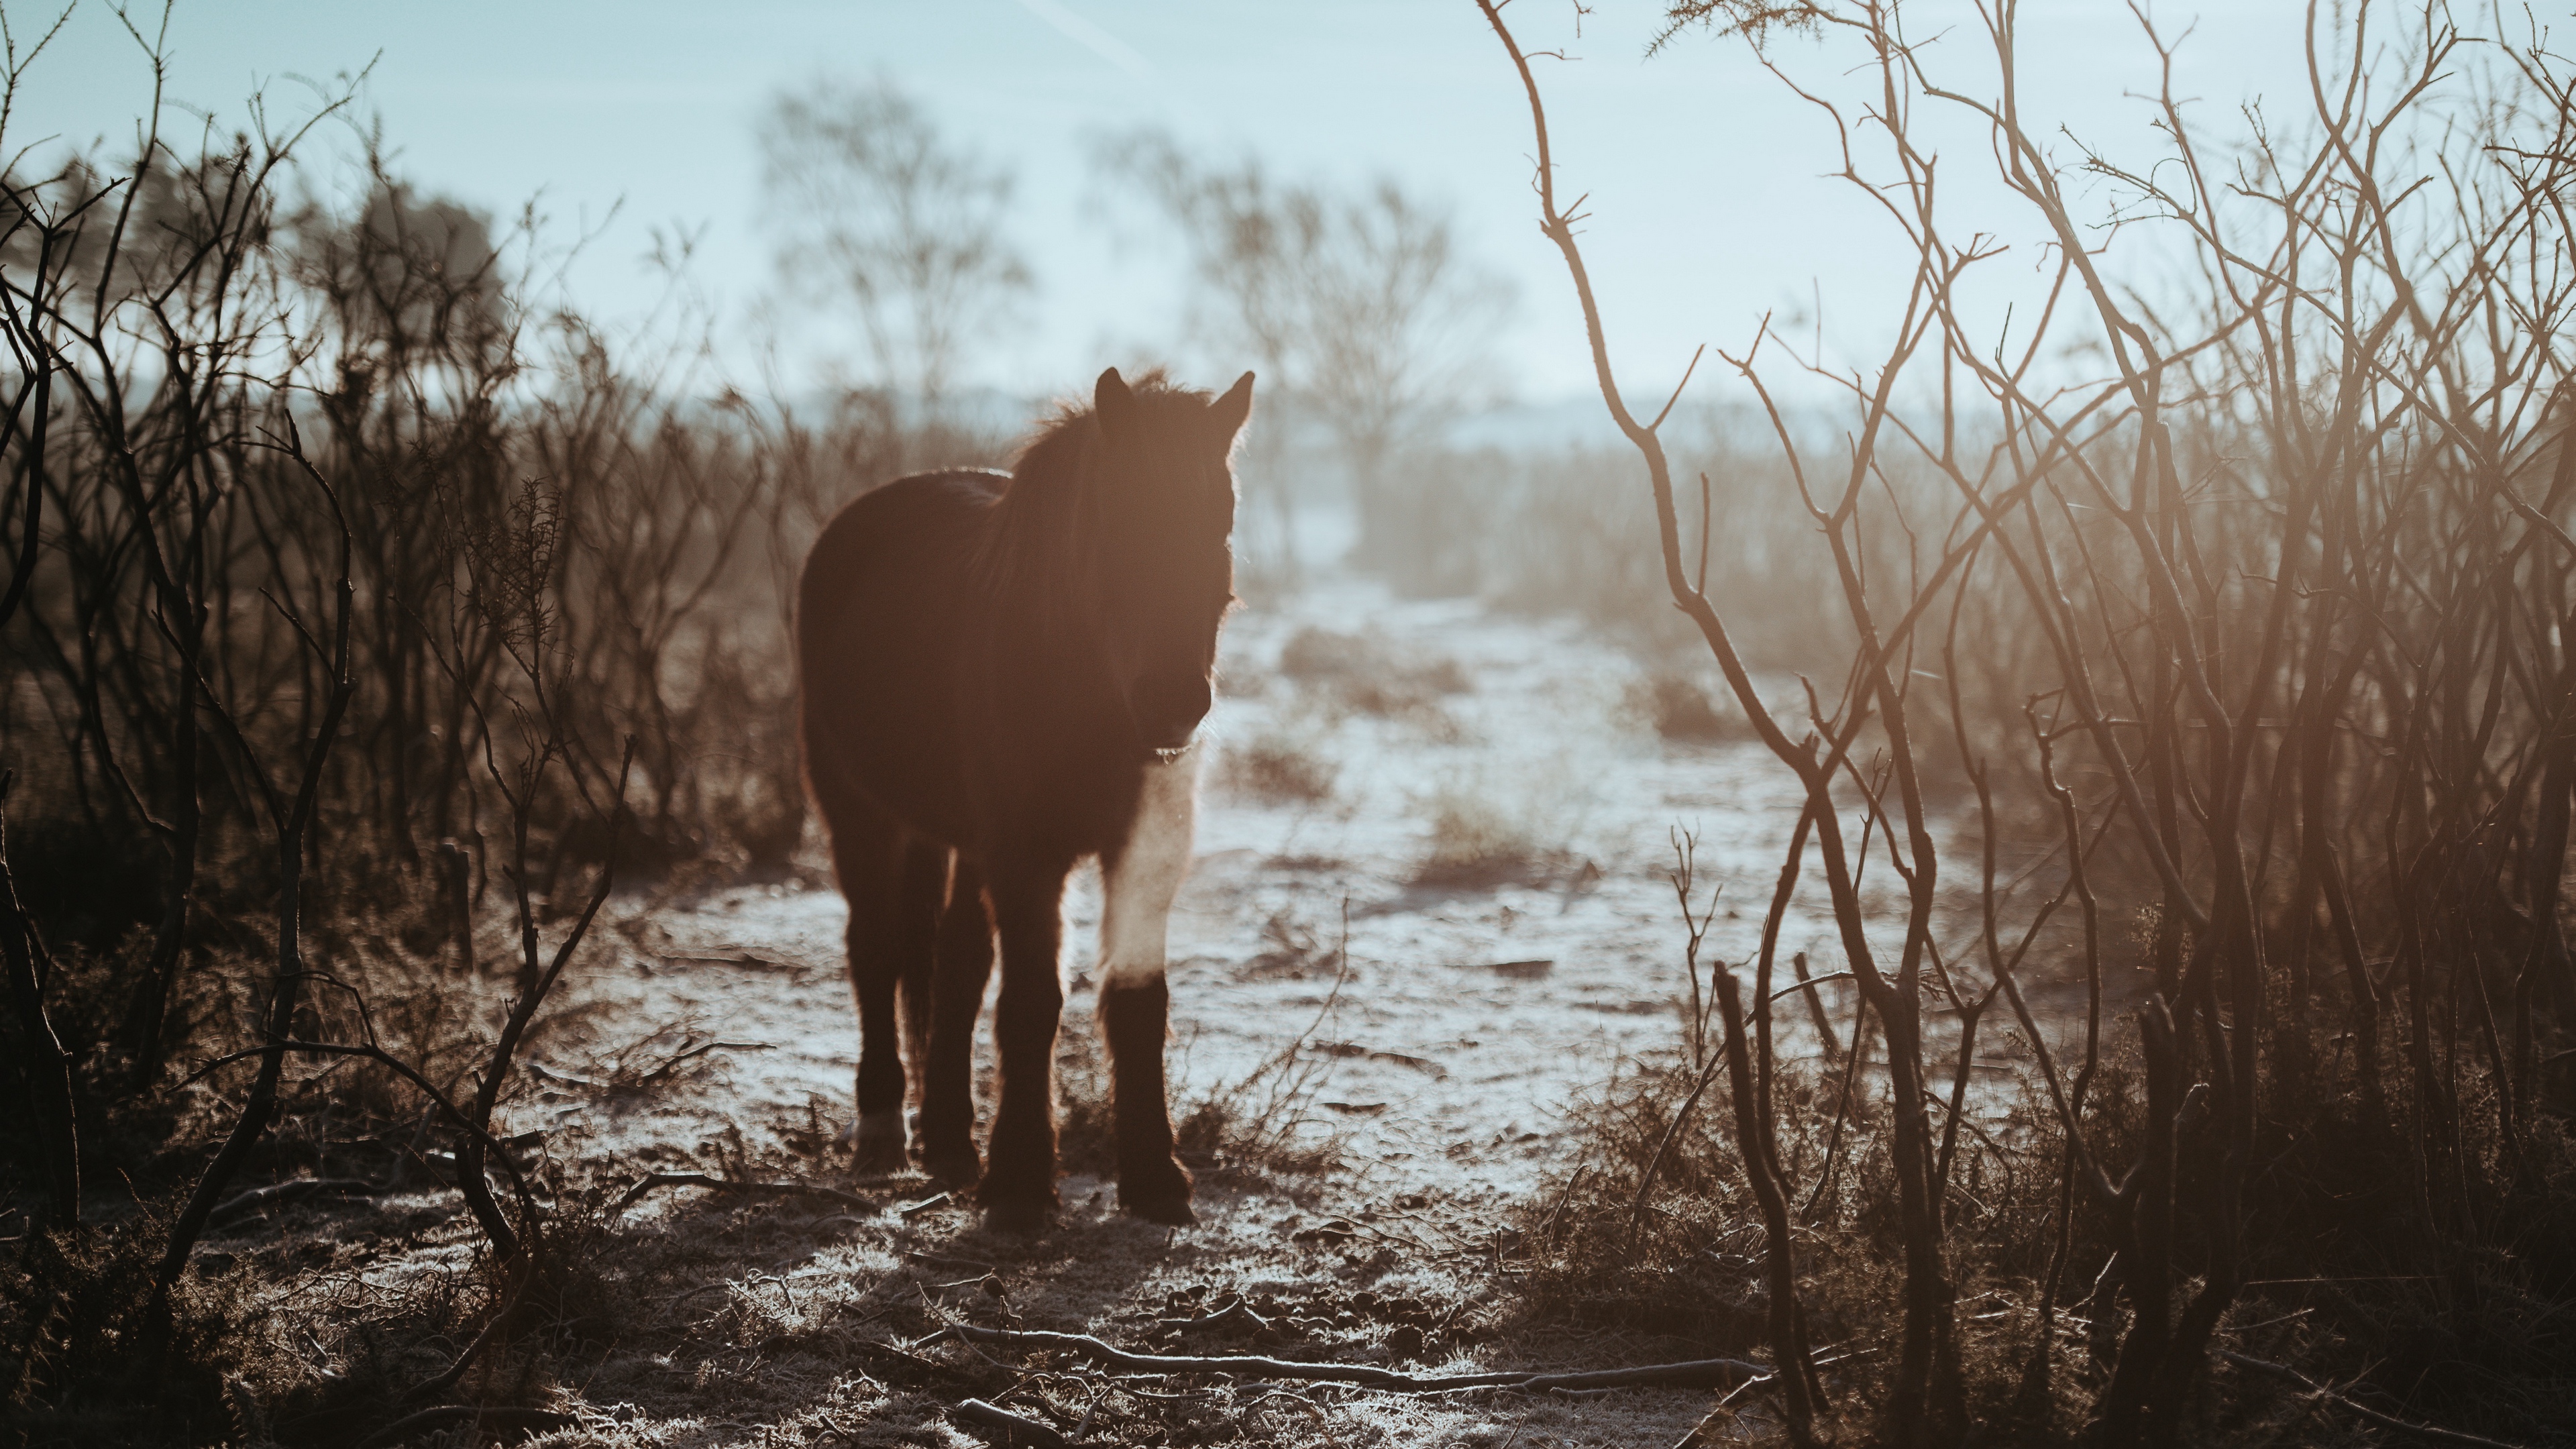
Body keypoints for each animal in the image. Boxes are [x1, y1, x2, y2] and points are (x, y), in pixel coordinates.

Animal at [798, 366, 1252, 1222]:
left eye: (1221, 523)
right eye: (1117, 520)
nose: (1173, 700)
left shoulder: (1143, 850)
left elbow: (1136, 1001)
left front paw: (1153, 1175)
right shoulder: (1027, 854)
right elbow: (1033, 1002)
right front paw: (1017, 1180)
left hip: (959, 839)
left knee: (954, 959)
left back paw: (947, 1138)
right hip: (860, 814)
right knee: (874, 951)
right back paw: (882, 1128)